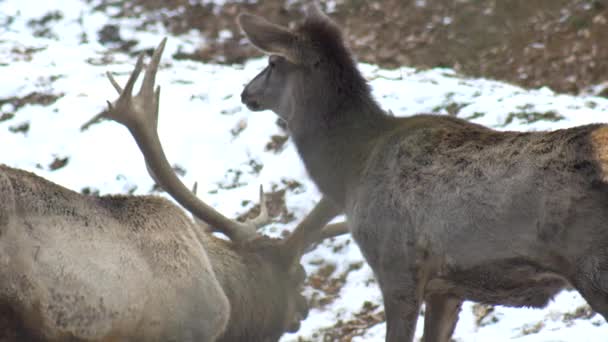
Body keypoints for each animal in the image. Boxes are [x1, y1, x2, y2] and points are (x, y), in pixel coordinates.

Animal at [239, 3, 608, 342]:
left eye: (272, 62)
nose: (246, 92)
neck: (349, 170)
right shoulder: (446, 288)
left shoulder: (397, 268)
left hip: (594, 267)